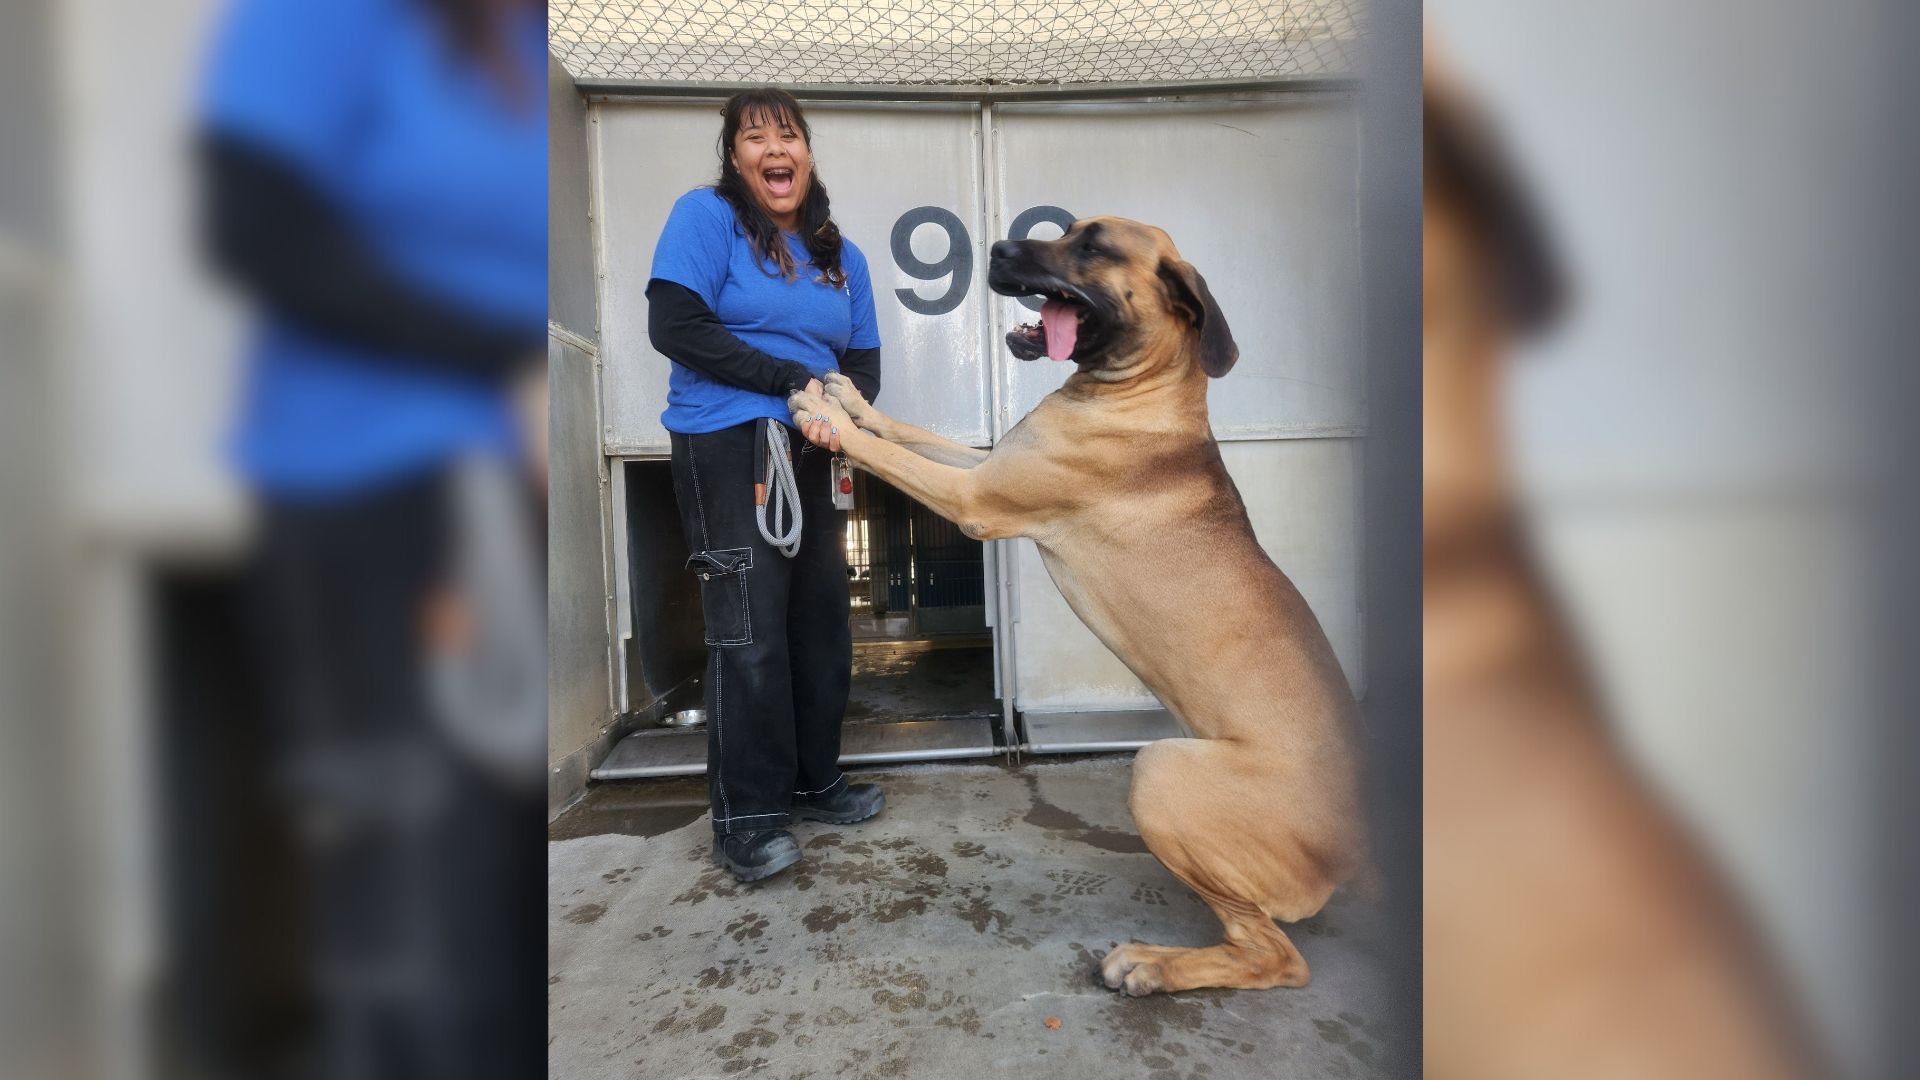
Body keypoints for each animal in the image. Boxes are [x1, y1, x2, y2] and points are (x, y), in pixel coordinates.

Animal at [787, 216, 1374, 991]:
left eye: (1092, 245)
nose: (996, 249)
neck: (1143, 391)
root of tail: (1349, 852)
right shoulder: (990, 464)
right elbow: (911, 431)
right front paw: (849, 400)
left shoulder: (977, 498)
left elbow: (897, 453)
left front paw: (826, 415)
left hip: (1160, 771)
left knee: (1276, 957)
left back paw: (1153, 966)